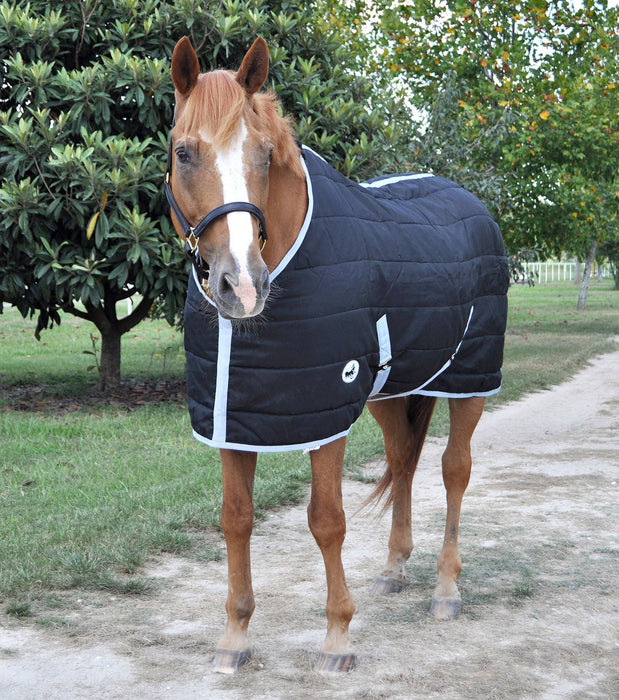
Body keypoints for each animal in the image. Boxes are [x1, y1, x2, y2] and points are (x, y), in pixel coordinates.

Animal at [165, 36, 509, 676]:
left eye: (264, 154)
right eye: (184, 152)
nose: (241, 287)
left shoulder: (324, 416)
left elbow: (326, 521)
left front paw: (338, 637)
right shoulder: (234, 418)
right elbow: (236, 519)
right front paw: (235, 637)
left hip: (471, 380)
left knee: (454, 470)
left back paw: (446, 589)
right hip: (392, 390)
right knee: (403, 460)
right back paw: (395, 569)